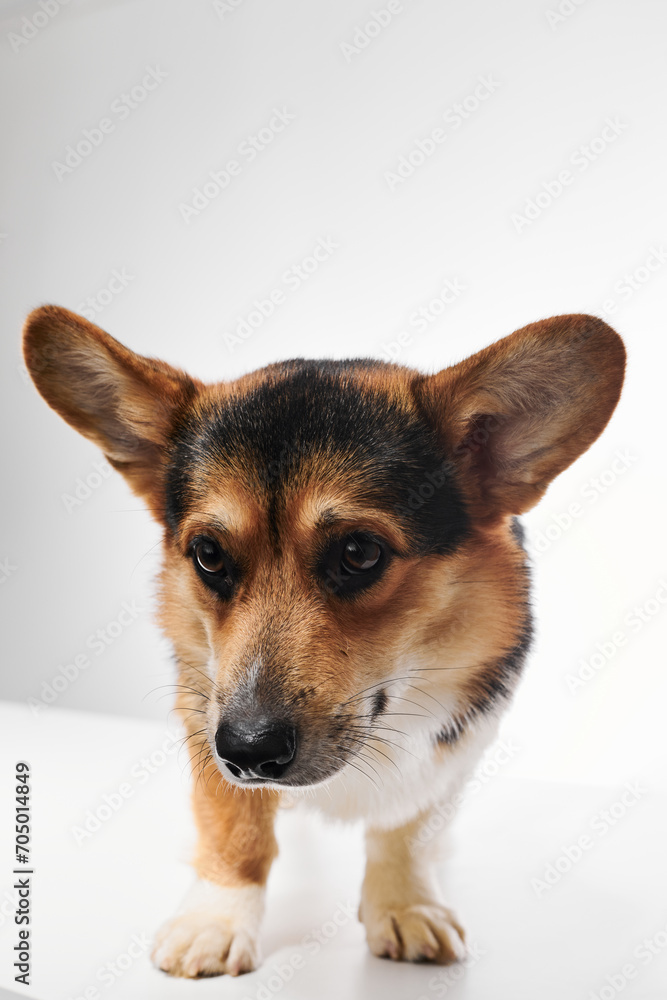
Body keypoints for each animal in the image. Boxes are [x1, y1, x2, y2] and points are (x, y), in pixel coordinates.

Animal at [22, 306, 628, 976]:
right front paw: (216, 918)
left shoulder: (456, 741)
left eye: (359, 553)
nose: (248, 752)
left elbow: (408, 827)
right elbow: (235, 825)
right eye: (209, 555)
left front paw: (405, 904)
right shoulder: (205, 703)